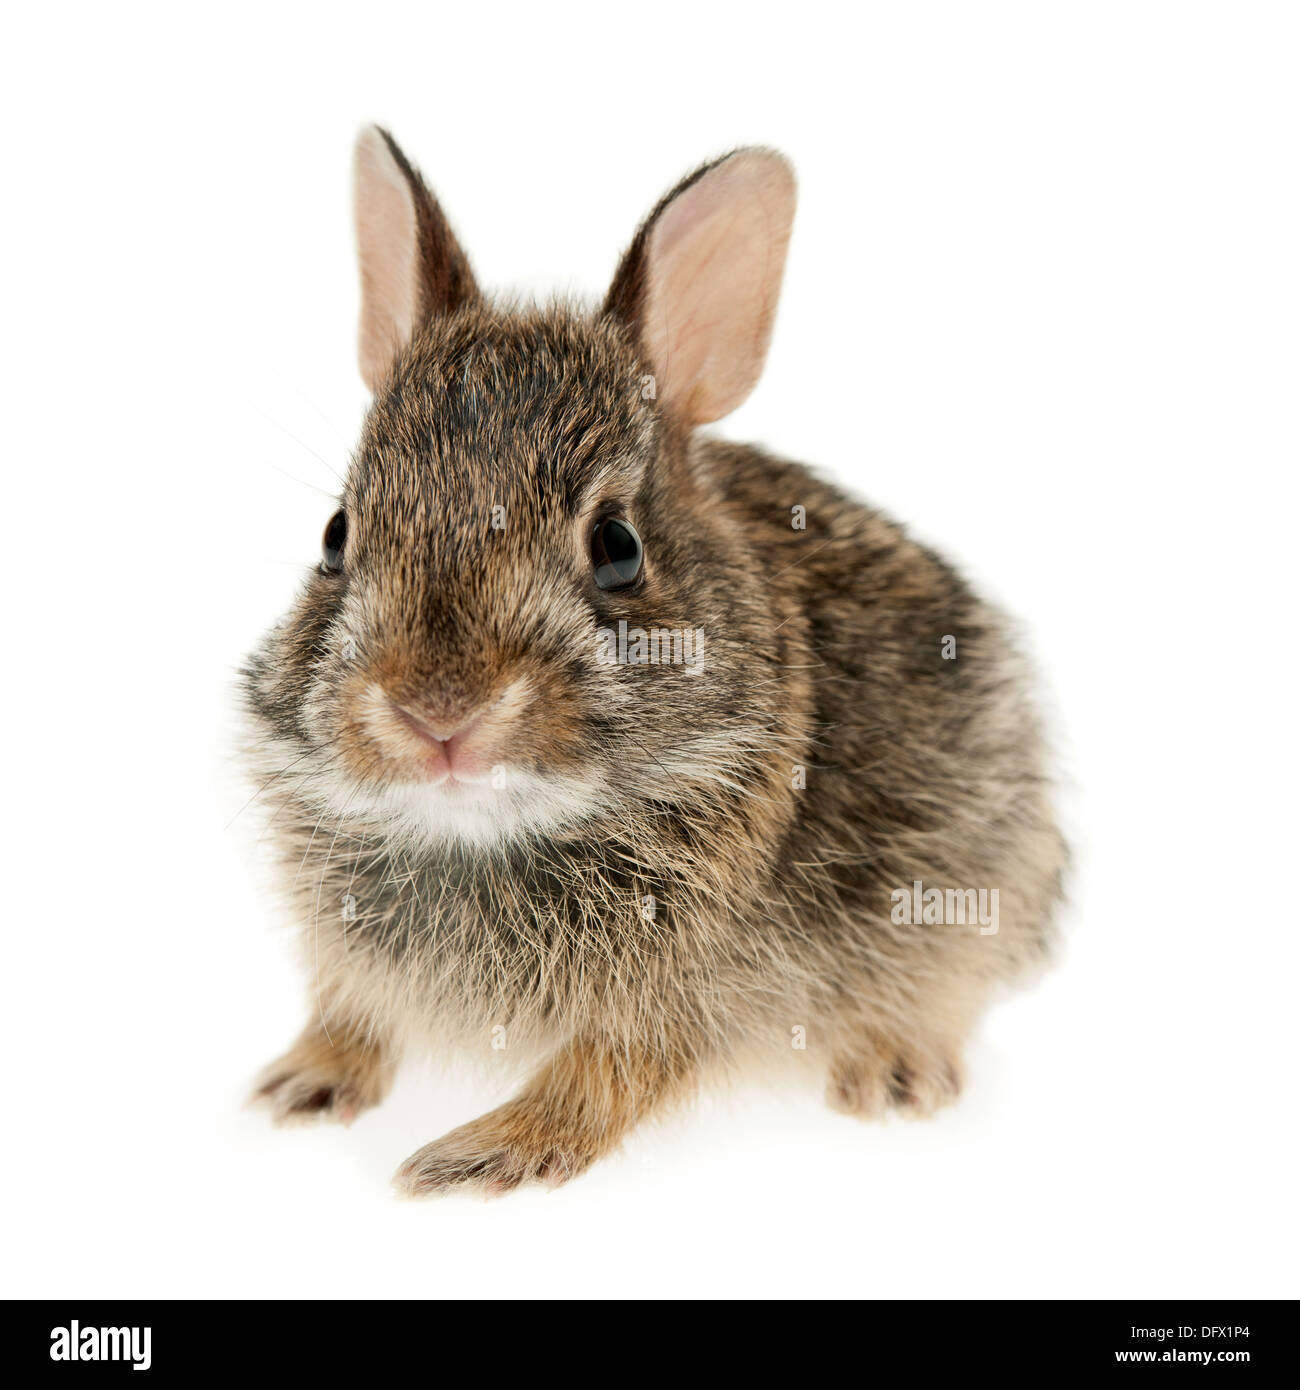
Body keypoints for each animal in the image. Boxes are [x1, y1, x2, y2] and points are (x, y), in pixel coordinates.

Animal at [239, 122, 1062, 1195]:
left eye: (618, 548)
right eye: (337, 537)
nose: (436, 711)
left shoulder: (683, 993)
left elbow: (606, 1077)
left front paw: (476, 1157)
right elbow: (351, 1010)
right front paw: (301, 1083)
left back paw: (893, 1071)